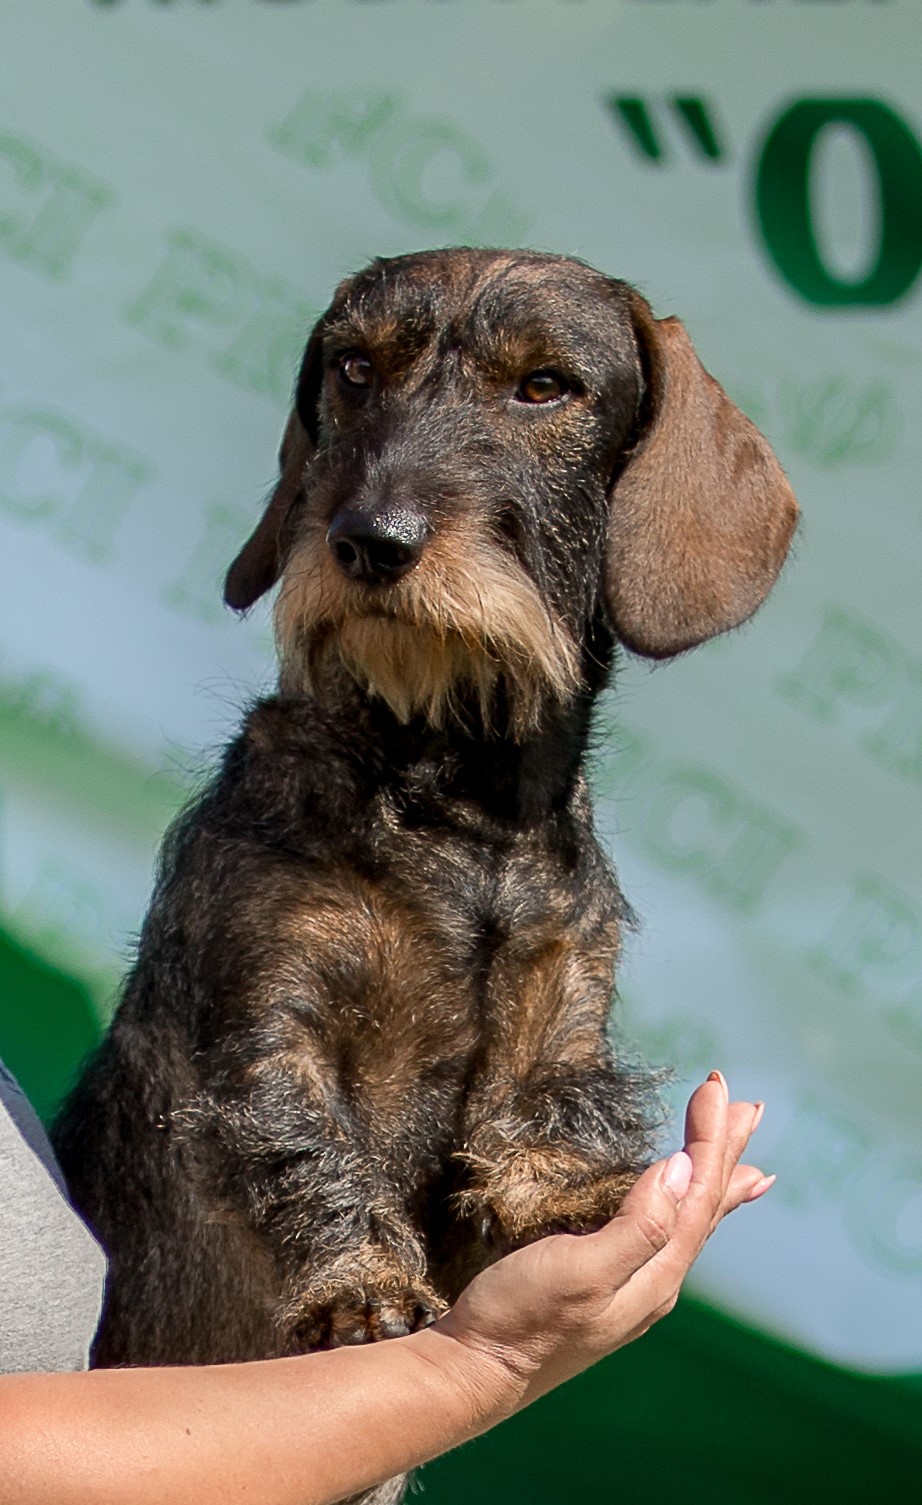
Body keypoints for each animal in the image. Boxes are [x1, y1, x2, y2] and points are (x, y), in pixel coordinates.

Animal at [54, 247, 796, 1480]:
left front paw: (566, 1181)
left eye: (544, 386)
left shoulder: (561, 999)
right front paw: (361, 1283)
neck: (456, 805)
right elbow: (300, 1138)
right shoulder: (268, 1003)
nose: (372, 538)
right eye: (356, 368)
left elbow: (550, 1100)